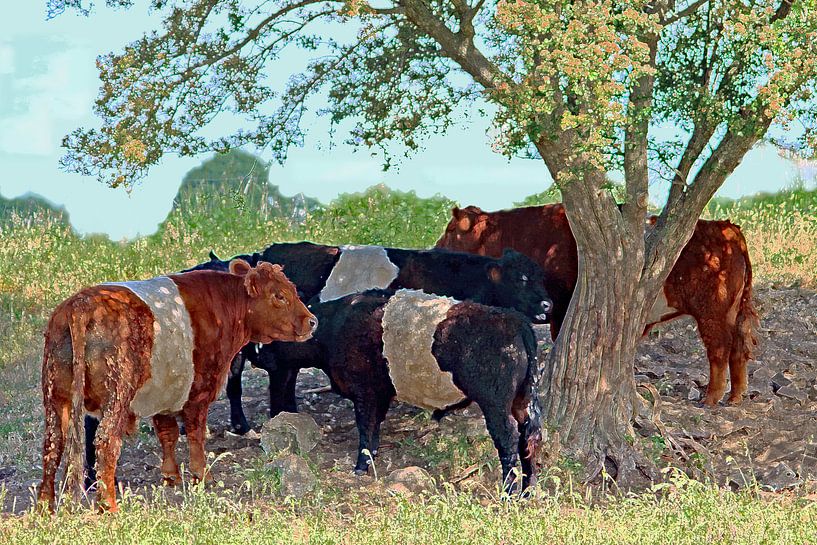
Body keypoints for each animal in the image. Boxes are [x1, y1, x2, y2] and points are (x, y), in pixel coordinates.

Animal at [39, 260, 318, 510]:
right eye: (279, 296)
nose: (312, 321)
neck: (225, 305)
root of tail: (81, 304)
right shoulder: (199, 391)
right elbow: (195, 433)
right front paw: (202, 475)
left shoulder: (163, 392)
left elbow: (168, 433)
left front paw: (171, 475)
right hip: (117, 395)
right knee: (106, 442)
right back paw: (109, 506)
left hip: (56, 396)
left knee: (53, 444)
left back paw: (45, 505)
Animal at [186, 241, 556, 430]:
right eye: (521, 279)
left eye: (540, 276)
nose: (548, 303)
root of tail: (258, 256)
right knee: (243, 382)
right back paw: (251, 422)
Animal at [270, 288, 540, 492]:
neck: (333, 329)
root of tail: (515, 321)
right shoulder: (379, 394)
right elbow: (374, 429)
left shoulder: (364, 392)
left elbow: (365, 429)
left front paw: (360, 466)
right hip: (522, 401)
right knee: (529, 437)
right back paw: (527, 490)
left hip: (495, 404)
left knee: (508, 440)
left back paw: (508, 493)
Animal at [436, 205, 760, 408]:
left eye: (452, 230)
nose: (436, 248)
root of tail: (728, 229)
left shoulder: (561, 308)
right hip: (733, 312)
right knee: (738, 349)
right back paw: (735, 396)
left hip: (713, 312)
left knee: (719, 349)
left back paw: (712, 398)